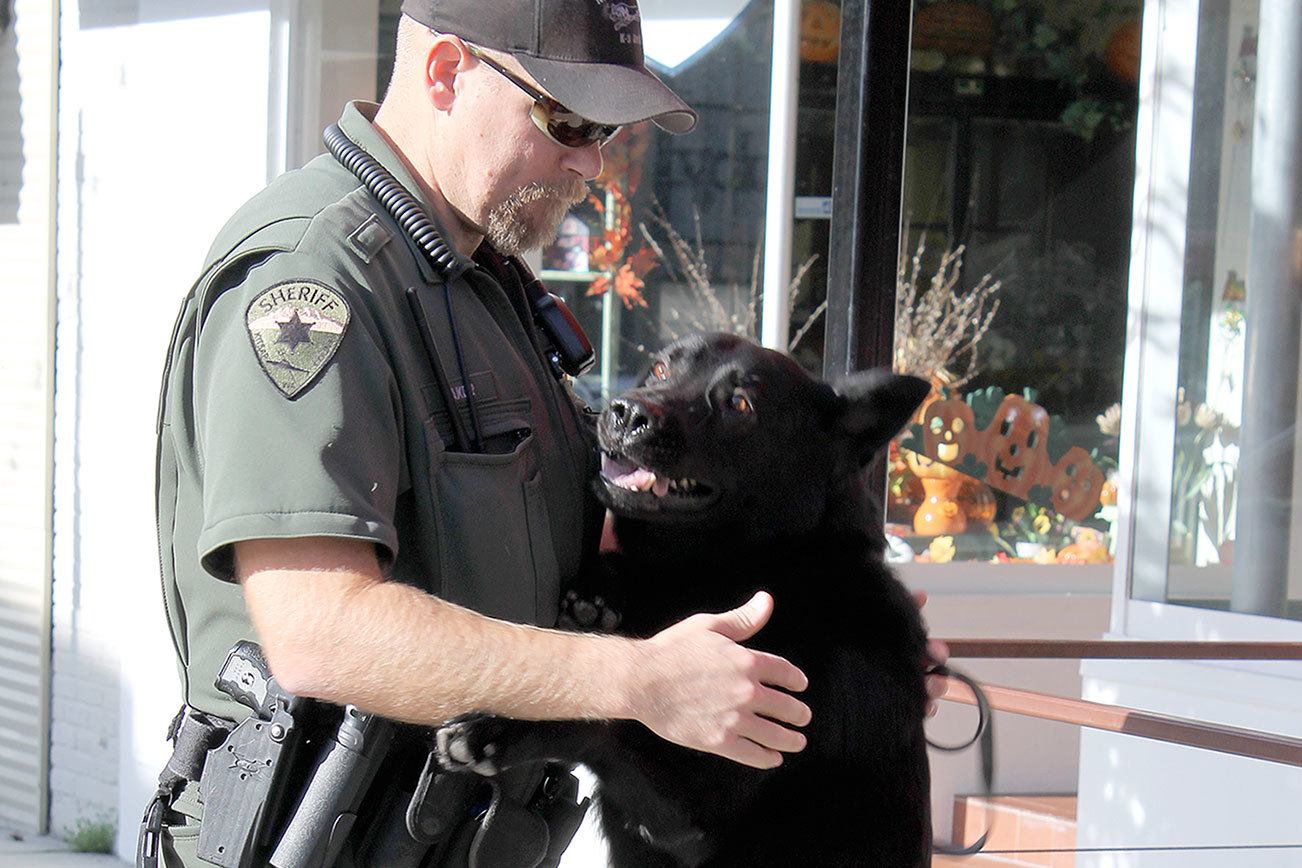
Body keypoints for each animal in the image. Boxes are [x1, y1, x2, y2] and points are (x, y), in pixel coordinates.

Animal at [437, 335, 937, 868]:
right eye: (660, 368)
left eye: (740, 404)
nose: (625, 412)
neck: (760, 568)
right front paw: (597, 593)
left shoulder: (695, 806)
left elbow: (611, 716)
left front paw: (493, 730)